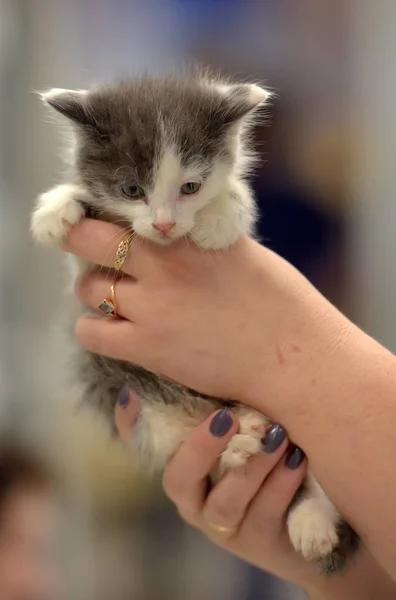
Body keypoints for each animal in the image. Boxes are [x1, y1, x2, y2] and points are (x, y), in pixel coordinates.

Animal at [31, 72, 358, 576]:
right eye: (131, 191)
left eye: (190, 187)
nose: (165, 226)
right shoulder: (88, 279)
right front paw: (57, 206)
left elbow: (236, 203)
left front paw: (220, 216)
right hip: (138, 403)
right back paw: (240, 441)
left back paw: (311, 517)